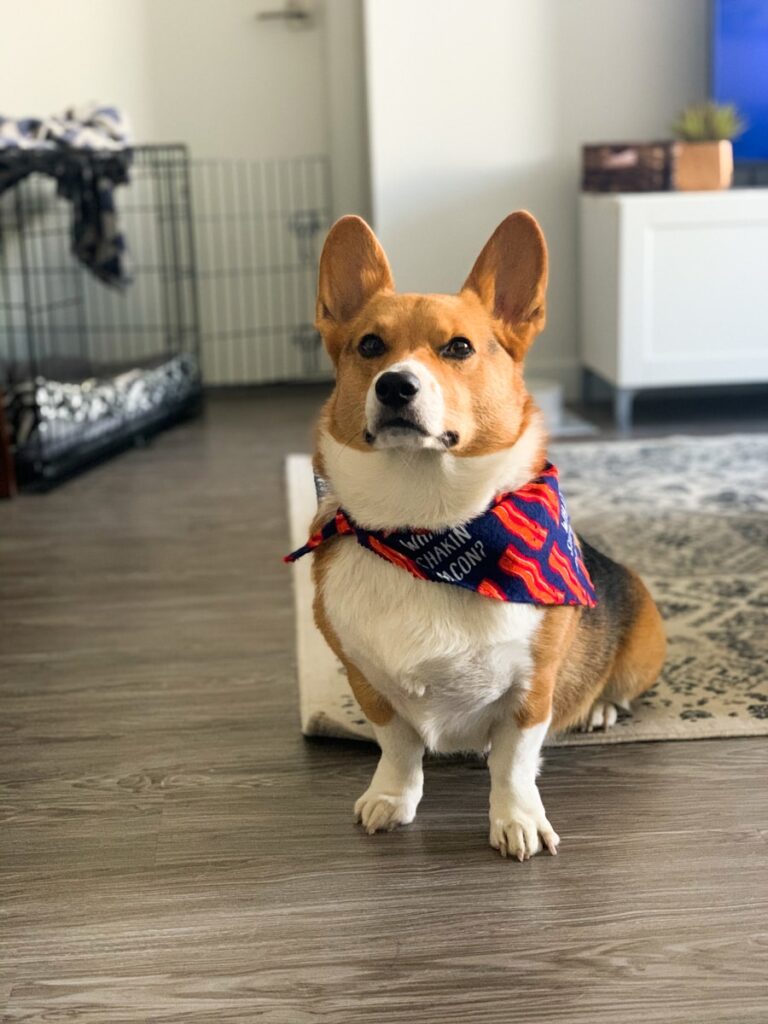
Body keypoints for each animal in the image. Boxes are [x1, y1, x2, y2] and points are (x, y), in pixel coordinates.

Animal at [290, 211, 663, 860]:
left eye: (458, 347)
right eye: (370, 346)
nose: (394, 386)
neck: (424, 532)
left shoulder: (529, 691)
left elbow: (512, 764)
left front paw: (517, 821)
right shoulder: (367, 682)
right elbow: (398, 749)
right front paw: (390, 799)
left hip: (640, 650)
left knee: (615, 689)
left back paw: (600, 709)